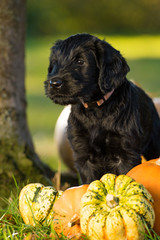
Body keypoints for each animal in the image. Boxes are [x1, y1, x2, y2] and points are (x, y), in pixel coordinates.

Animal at [44, 33, 160, 184]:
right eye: (55, 63)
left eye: (80, 61)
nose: (54, 83)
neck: (96, 110)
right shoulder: (83, 155)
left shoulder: (126, 154)